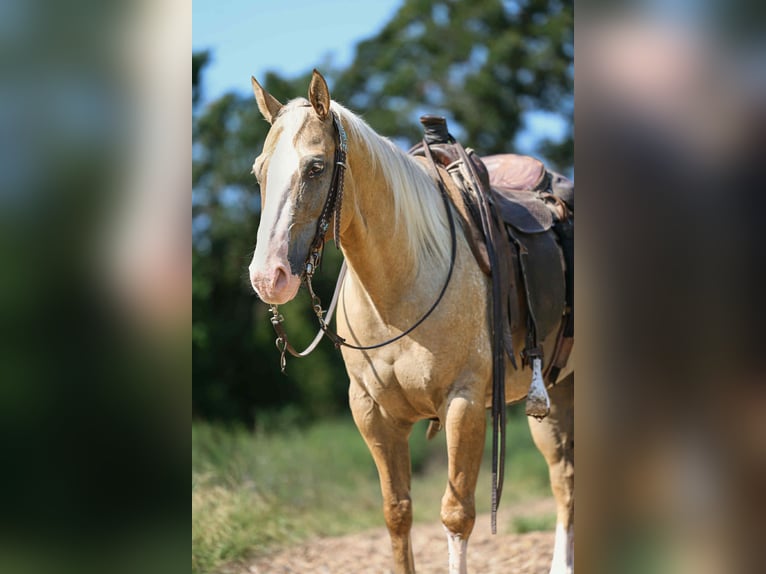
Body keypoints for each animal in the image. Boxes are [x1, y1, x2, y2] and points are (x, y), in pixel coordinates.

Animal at [248, 70, 574, 574]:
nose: (269, 277)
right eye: (259, 171)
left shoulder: (463, 404)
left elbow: (457, 516)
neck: (403, 282)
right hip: (555, 395)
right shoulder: (373, 414)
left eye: (316, 167)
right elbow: (396, 513)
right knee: (563, 477)